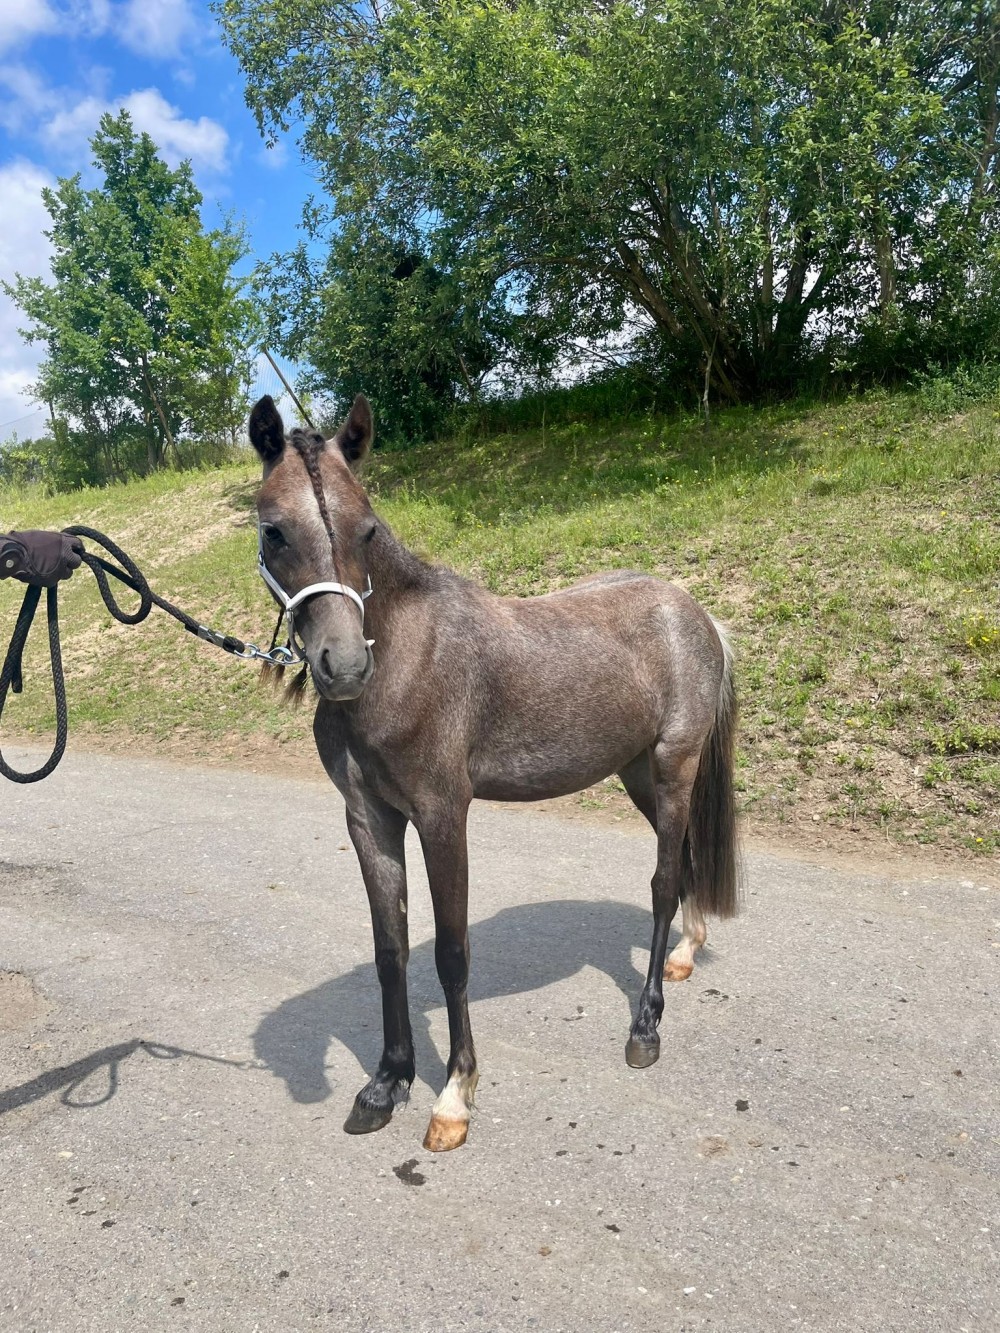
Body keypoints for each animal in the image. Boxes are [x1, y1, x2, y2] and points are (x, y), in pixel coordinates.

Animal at [248, 393, 739, 1152]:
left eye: (367, 529)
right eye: (273, 531)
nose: (344, 666)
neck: (404, 659)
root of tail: (697, 615)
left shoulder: (442, 814)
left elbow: (452, 953)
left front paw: (454, 1095)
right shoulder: (369, 818)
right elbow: (391, 948)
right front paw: (386, 1083)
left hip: (674, 765)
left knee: (662, 883)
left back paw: (646, 1025)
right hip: (637, 776)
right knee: (681, 863)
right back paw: (686, 954)